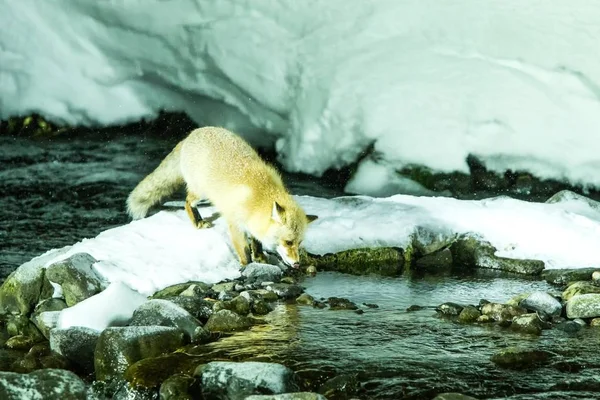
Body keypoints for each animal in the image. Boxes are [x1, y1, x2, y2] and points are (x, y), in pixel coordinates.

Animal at [127, 126, 318, 268]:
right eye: (288, 242)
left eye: (299, 243)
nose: (297, 264)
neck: (258, 197)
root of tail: (192, 134)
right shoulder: (235, 223)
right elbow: (243, 250)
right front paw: (246, 265)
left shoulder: (254, 223)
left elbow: (256, 241)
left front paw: (259, 256)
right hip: (201, 192)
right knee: (187, 202)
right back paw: (198, 222)